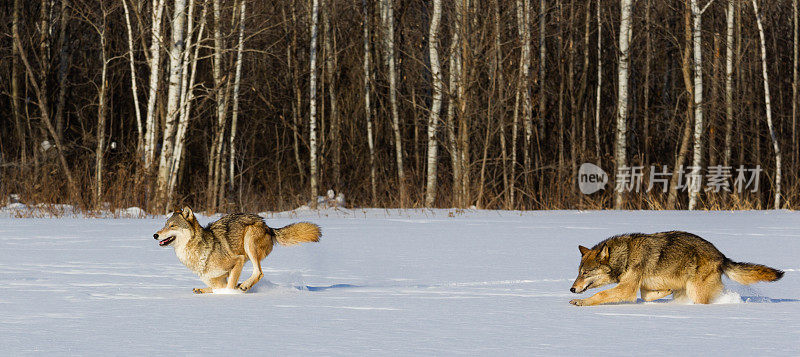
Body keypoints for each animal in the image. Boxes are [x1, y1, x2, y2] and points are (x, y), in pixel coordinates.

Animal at [155, 206, 320, 292]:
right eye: (165, 225)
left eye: (172, 226)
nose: (155, 235)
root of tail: (267, 226)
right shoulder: (216, 280)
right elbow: (218, 287)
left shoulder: (237, 261)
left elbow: (229, 286)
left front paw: (231, 295)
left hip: (249, 242)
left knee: (259, 272)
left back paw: (244, 285)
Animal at [568, 231, 780, 306]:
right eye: (578, 273)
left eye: (585, 273)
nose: (572, 288)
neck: (626, 255)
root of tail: (721, 255)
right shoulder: (641, 287)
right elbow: (647, 296)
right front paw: (665, 291)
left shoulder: (627, 289)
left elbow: (600, 295)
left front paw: (581, 302)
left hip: (696, 292)